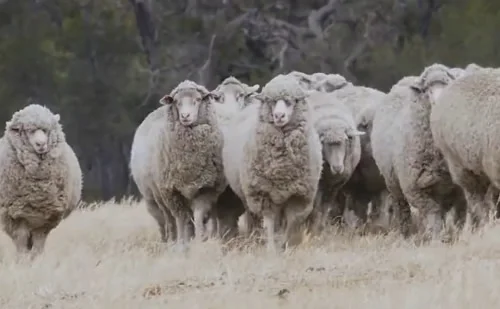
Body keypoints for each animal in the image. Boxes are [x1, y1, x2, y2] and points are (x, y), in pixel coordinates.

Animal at [0, 103, 82, 255]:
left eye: (46, 130)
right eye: (29, 130)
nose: (41, 144)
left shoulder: (44, 219)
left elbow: (38, 245)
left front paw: (36, 258)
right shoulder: (16, 217)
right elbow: (21, 242)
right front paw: (22, 259)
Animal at [131, 80, 229, 248]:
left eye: (197, 100)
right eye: (176, 102)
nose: (185, 116)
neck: (189, 164)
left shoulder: (205, 189)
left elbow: (198, 216)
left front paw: (200, 240)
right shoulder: (172, 191)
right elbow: (181, 219)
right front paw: (183, 243)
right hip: (157, 194)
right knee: (168, 220)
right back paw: (170, 241)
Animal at [222, 75, 322, 250]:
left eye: (291, 101)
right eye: (271, 101)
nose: (279, 116)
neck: (282, 169)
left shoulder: (298, 195)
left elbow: (291, 223)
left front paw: (284, 244)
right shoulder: (263, 193)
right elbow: (268, 223)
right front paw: (270, 248)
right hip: (247, 194)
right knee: (254, 217)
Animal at [370, 65, 466, 241]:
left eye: (447, 84)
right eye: (427, 89)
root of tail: (405, 80)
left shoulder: (460, 186)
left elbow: (461, 214)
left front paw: (459, 235)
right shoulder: (415, 189)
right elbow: (433, 212)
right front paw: (436, 238)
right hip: (393, 183)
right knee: (402, 209)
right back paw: (406, 235)